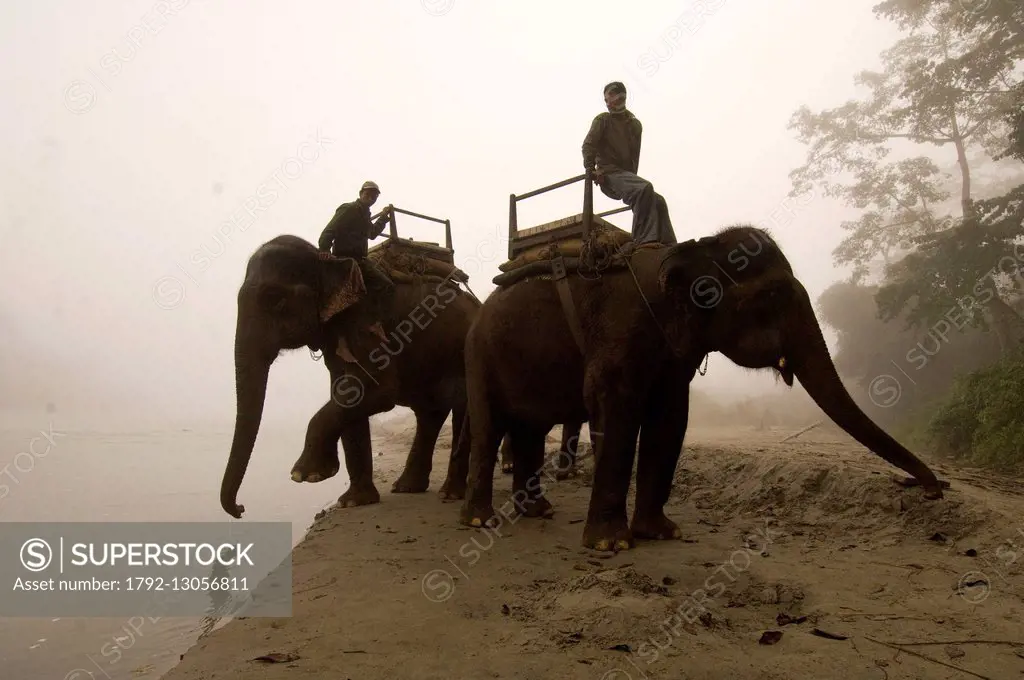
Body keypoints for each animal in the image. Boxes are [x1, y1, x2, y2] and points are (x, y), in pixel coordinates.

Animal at [220, 236, 479, 518]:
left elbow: (378, 390)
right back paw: (407, 488)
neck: (327, 261)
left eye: (275, 300)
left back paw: (449, 493)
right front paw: (354, 502)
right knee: (429, 413)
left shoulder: (366, 323)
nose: (240, 508)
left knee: (461, 408)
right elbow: (347, 391)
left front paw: (307, 474)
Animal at [460, 223, 946, 553]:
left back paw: (537, 511)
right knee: (491, 425)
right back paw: (480, 522)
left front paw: (662, 534)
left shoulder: (675, 354)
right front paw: (611, 545)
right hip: (479, 355)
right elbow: (616, 412)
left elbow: (672, 418)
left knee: (529, 428)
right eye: (774, 297)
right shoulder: (620, 331)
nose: (927, 488)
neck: (691, 249)